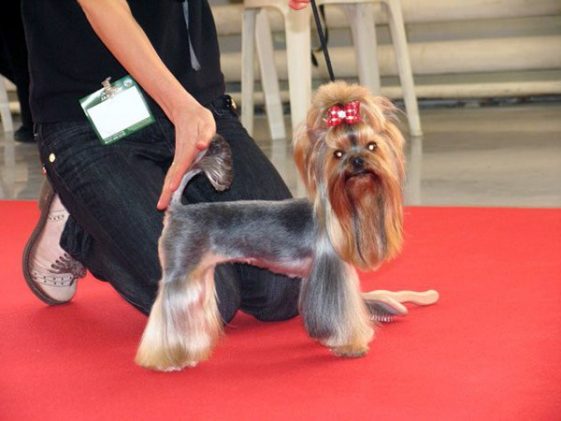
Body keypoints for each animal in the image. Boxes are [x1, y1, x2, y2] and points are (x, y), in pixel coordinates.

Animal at [136, 80, 406, 370]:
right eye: (338, 154)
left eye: (371, 146)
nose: (357, 162)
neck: (339, 210)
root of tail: (177, 209)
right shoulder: (330, 272)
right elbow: (340, 315)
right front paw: (350, 345)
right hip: (181, 271)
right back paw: (165, 358)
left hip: (199, 273)